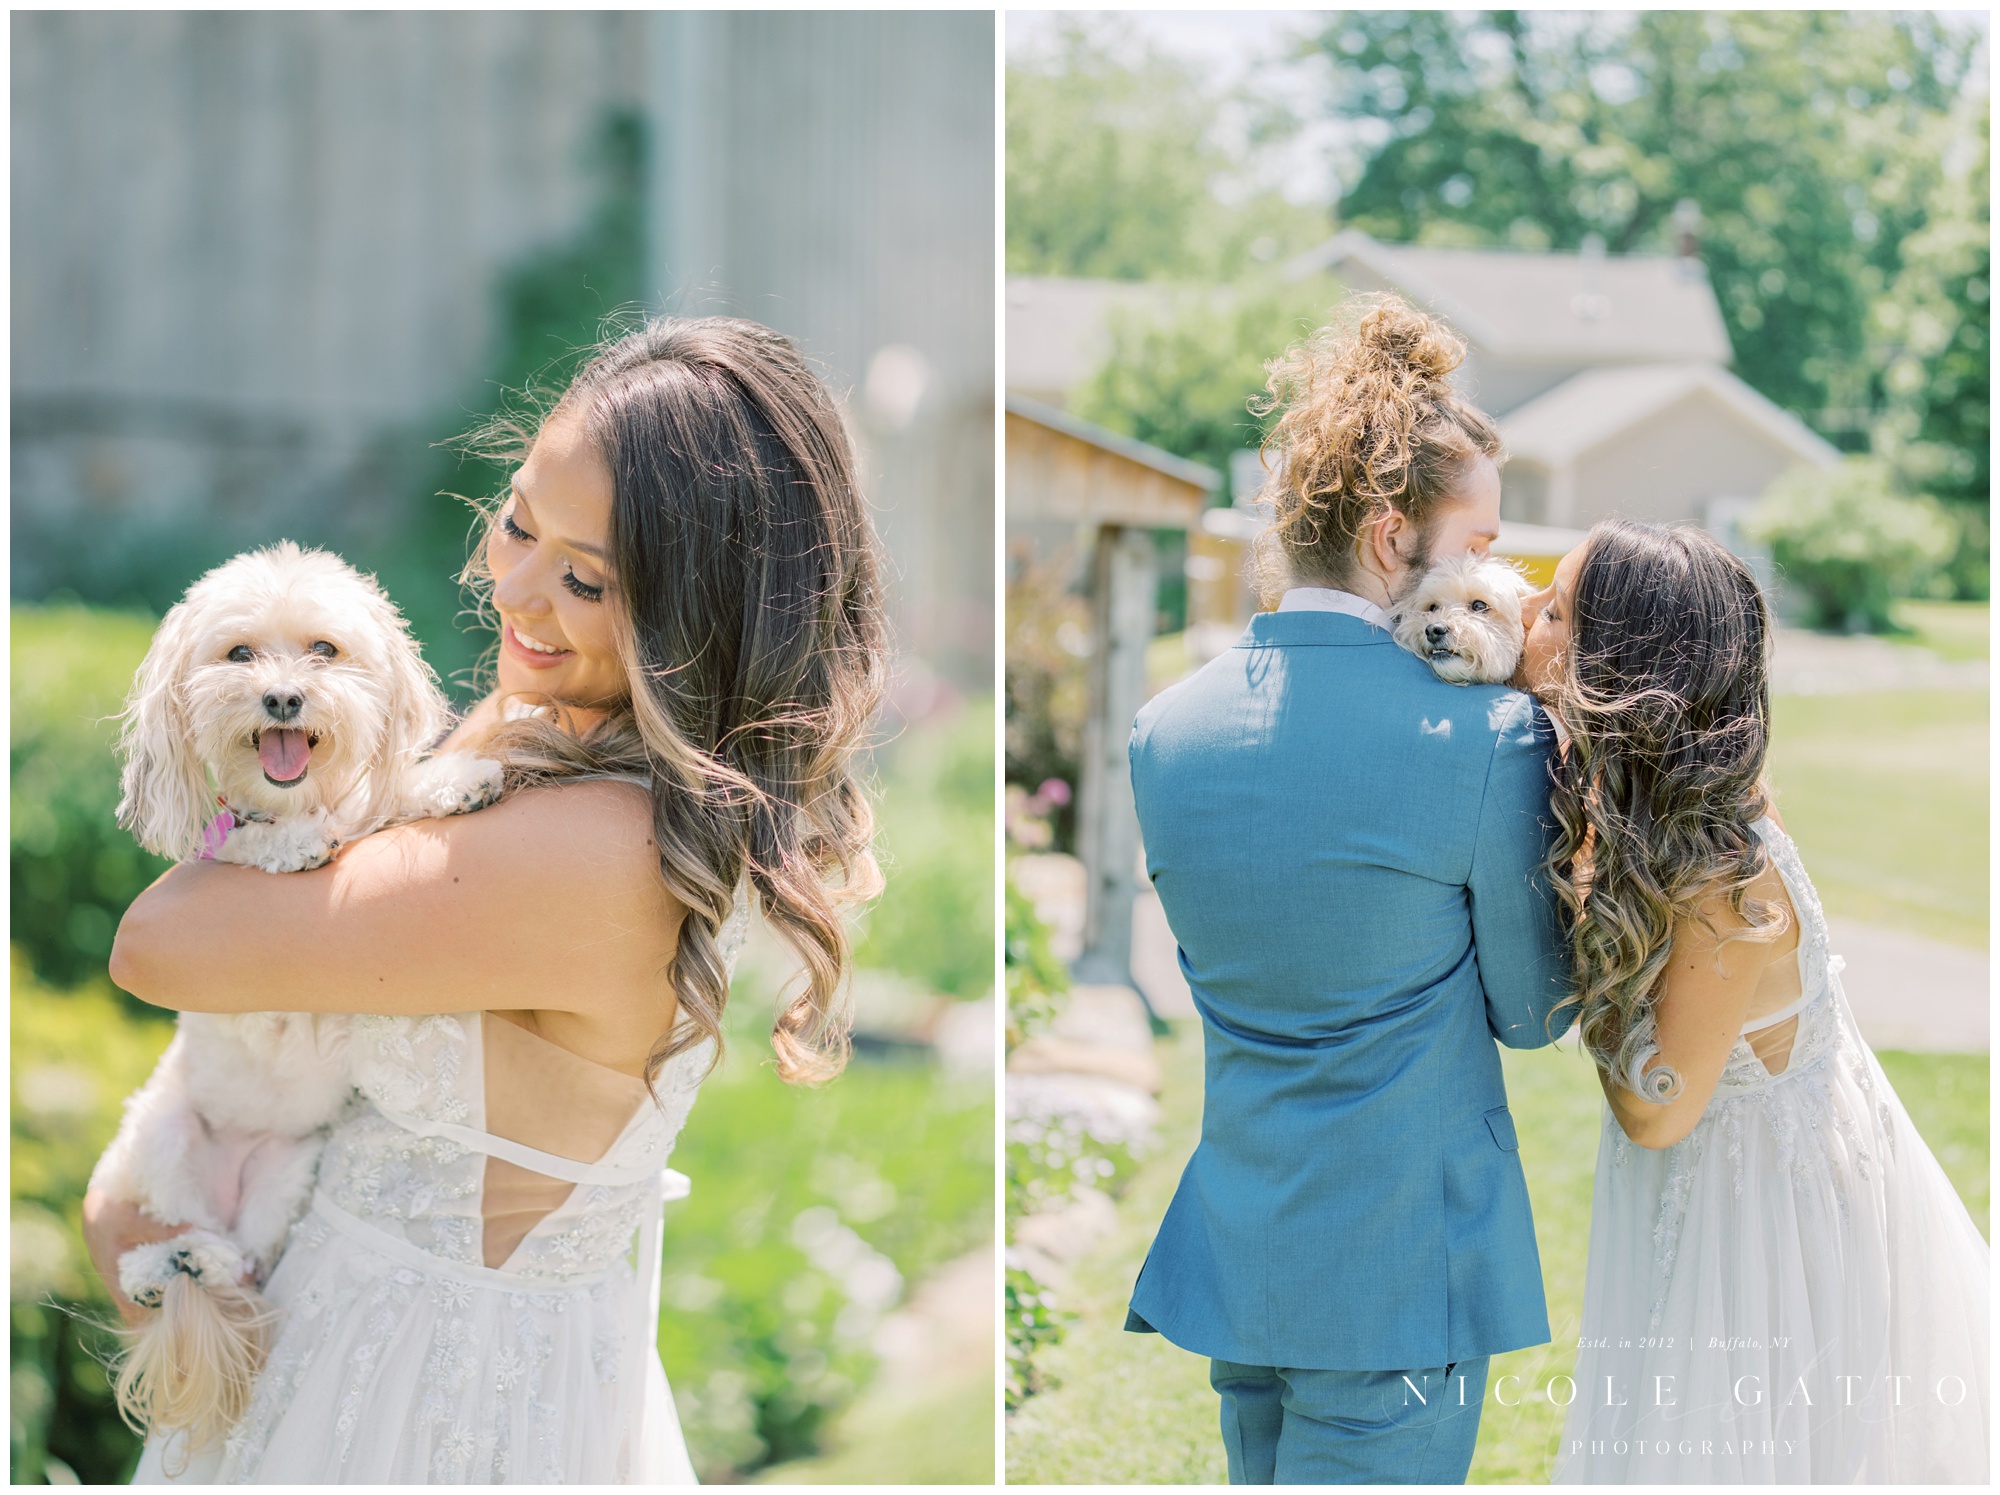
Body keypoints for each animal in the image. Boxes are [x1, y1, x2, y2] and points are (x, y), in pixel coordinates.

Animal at [89, 543, 500, 1455]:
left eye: (324, 649)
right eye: (239, 653)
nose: (282, 696)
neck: (302, 796)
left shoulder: (363, 807)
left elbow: (386, 798)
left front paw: (452, 780)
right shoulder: (224, 854)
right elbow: (260, 842)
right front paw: (300, 841)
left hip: (287, 1171)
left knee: (246, 1253)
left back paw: (205, 1264)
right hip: (162, 1135)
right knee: (184, 1229)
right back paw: (159, 1266)